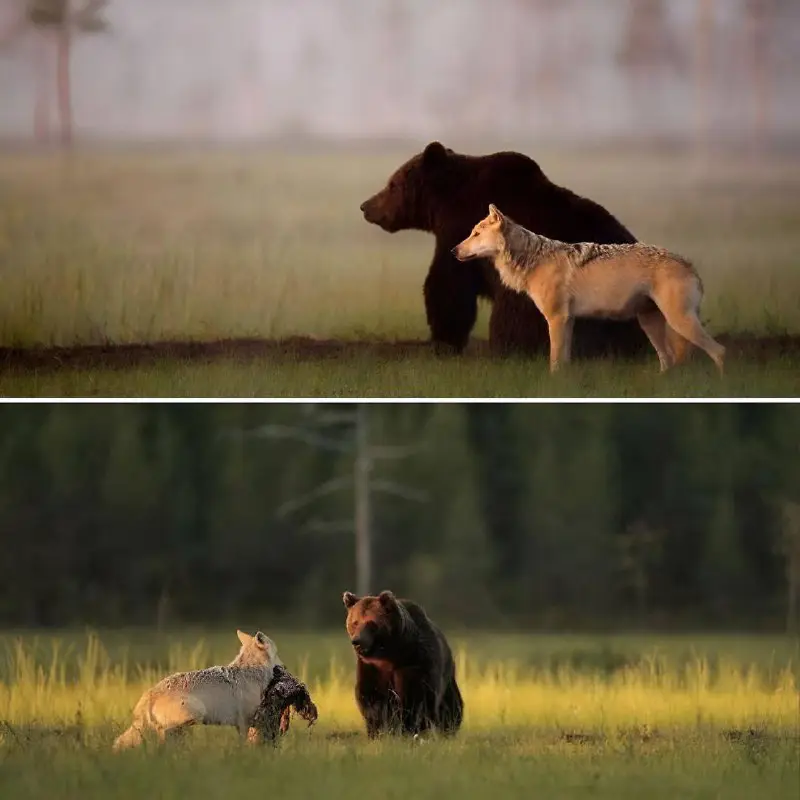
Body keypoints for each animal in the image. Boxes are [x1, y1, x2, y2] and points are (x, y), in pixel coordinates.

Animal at [112, 632, 282, 752]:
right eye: (277, 654)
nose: (284, 666)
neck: (253, 672)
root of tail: (149, 694)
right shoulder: (244, 722)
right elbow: (244, 744)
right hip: (195, 714)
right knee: (162, 736)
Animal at [342, 588, 462, 736]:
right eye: (355, 622)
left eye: (371, 623)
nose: (357, 641)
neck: (390, 653)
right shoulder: (371, 667)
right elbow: (371, 696)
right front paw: (380, 729)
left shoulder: (415, 662)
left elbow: (416, 698)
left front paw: (409, 728)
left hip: (447, 678)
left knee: (450, 706)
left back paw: (447, 729)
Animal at [360, 142, 648, 358]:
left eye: (393, 184)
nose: (366, 206)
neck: (445, 201)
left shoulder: (458, 231)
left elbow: (448, 286)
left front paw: (442, 341)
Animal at [456, 202, 724, 374]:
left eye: (476, 233)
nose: (453, 250)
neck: (532, 259)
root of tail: (689, 264)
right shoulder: (567, 320)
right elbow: (563, 360)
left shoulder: (557, 319)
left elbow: (554, 361)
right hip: (651, 324)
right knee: (669, 361)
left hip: (679, 322)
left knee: (719, 352)